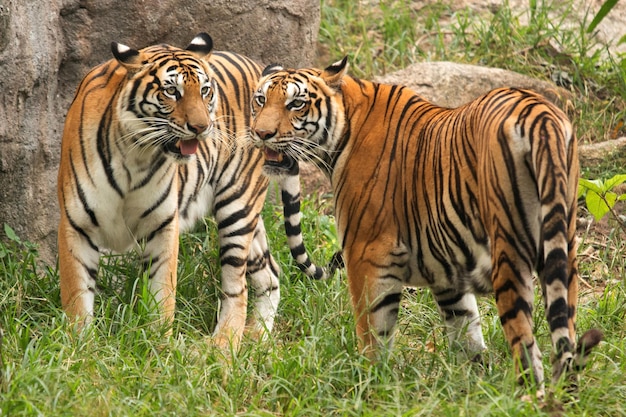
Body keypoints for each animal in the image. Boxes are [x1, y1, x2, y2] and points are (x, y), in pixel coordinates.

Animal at [56, 33, 324, 352]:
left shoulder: (162, 225)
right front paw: (81, 348)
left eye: (205, 91)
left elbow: (161, 295)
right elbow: (77, 300)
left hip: (237, 206)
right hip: (250, 217)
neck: (136, 155)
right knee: (270, 272)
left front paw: (157, 345)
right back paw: (257, 336)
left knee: (238, 286)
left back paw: (223, 345)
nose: (201, 127)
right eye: (172, 91)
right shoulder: (77, 226)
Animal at [247, 57, 600, 388]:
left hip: (510, 254)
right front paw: (472, 385)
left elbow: (372, 331)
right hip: (563, 249)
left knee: (528, 349)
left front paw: (370, 384)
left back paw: (530, 397)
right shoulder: (448, 272)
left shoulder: (365, 253)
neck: (344, 129)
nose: (261, 134)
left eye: (296, 103)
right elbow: (466, 332)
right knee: (564, 339)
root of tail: (540, 113)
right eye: (260, 100)